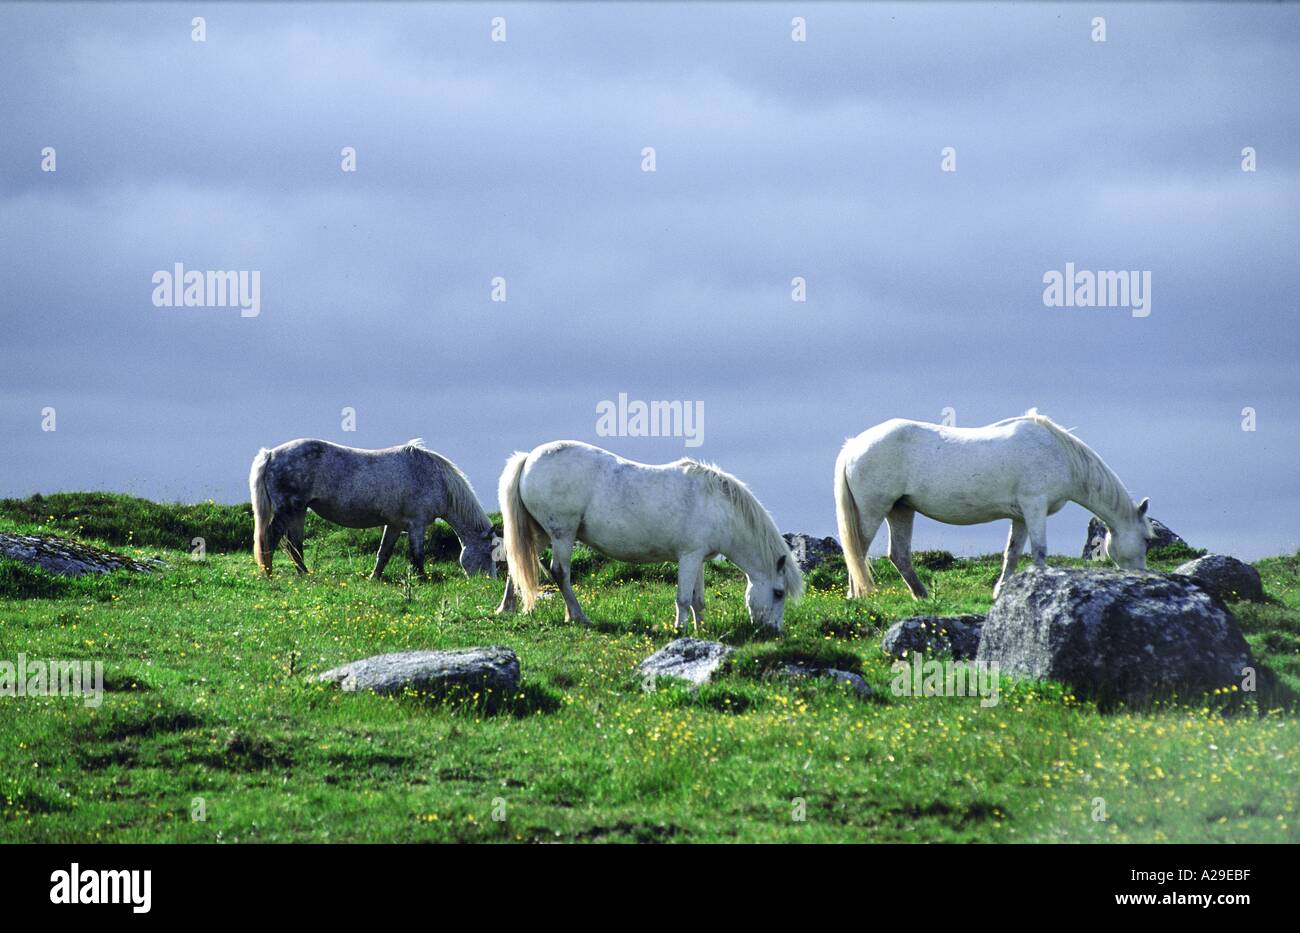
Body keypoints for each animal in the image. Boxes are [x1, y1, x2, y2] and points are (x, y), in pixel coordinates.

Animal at [248, 438, 497, 580]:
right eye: (489, 553)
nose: (489, 582)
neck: (433, 477)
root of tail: (270, 454)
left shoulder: (395, 525)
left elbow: (384, 552)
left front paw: (374, 577)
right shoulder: (416, 525)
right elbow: (417, 555)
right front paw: (421, 579)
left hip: (298, 511)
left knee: (294, 545)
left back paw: (304, 574)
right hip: (287, 510)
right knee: (270, 539)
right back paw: (269, 574)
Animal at [495, 441, 804, 631]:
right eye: (778, 593)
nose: (773, 632)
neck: (717, 506)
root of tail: (529, 457)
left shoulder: (698, 559)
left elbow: (698, 600)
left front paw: (701, 629)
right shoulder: (688, 557)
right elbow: (683, 598)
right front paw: (681, 630)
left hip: (540, 533)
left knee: (516, 564)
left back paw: (506, 608)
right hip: (562, 534)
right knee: (561, 572)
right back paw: (578, 615)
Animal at [834, 410, 1153, 600]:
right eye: (1148, 540)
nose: (1140, 578)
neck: (1058, 454)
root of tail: (854, 445)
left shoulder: (1022, 516)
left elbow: (1012, 554)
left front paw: (1001, 591)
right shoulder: (1035, 507)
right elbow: (1039, 550)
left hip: (901, 510)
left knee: (898, 555)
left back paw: (921, 595)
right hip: (873, 510)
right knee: (858, 551)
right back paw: (857, 595)